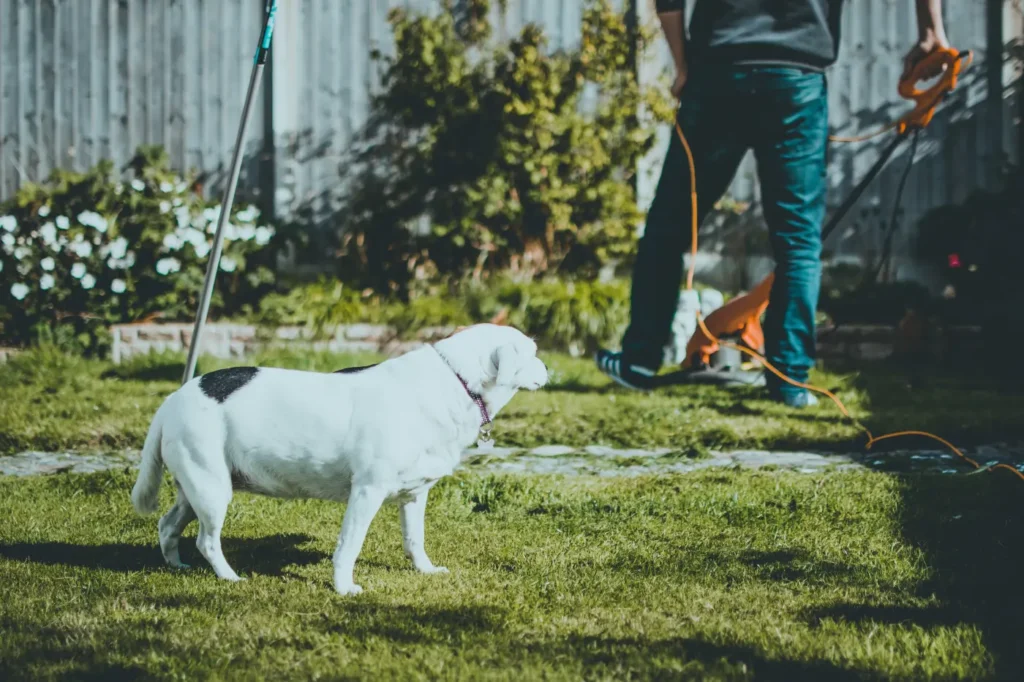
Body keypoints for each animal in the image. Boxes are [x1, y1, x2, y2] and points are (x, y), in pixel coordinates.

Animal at [131, 321, 548, 593]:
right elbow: (349, 545)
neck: (455, 380)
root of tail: (172, 399)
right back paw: (229, 577)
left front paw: (425, 570)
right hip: (212, 489)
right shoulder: (367, 491)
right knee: (207, 540)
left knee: (168, 525)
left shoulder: (415, 495)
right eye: (532, 353)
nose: (548, 368)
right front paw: (344, 587)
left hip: (196, 487)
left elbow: (415, 540)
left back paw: (176, 565)